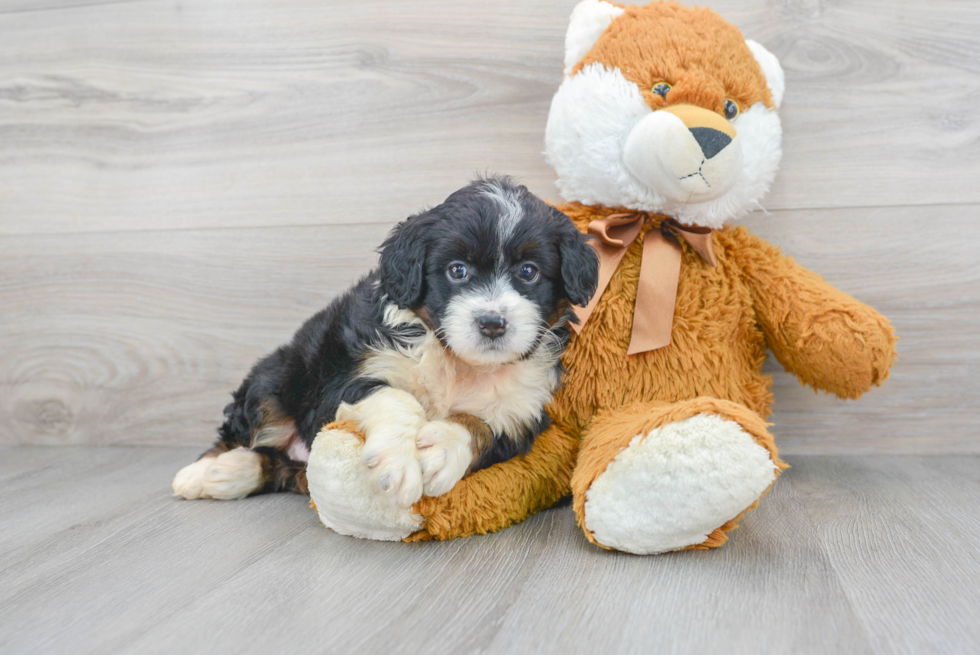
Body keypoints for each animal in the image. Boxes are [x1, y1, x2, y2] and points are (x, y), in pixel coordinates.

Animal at [172, 176, 596, 508]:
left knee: (280, 466)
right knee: (244, 433)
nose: (492, 324)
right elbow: (398, 399)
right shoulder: (345, 379)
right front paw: (398, 463)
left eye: (529, 272)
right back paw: (202, 472)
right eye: (457, 271)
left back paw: (229, 473)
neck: (457, 361)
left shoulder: (520, 412)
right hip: (275, 379)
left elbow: (479, 424)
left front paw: (443, 449)